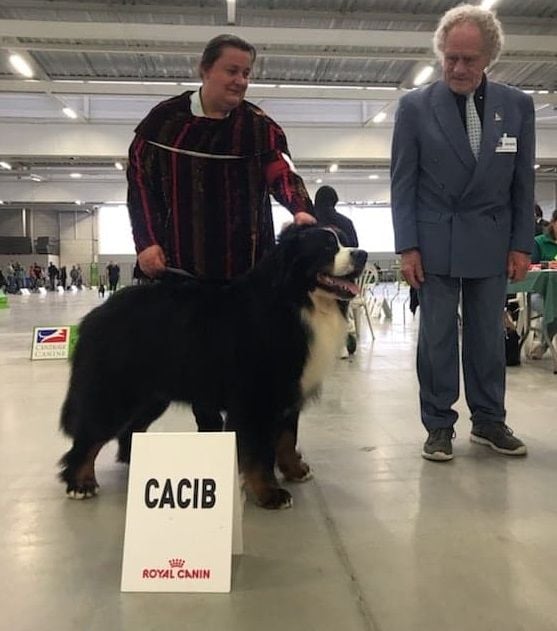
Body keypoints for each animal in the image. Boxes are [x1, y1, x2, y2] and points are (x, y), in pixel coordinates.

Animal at [58, 225, 368, 512]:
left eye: (345, 241)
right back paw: (80, 483)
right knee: (89, 436)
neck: (295, 300)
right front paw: (270, 493)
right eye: (327, 246)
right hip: (116, 391)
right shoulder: (257, 398)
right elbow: (259, 453)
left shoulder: (290, 391)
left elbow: (287, 437)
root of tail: (96, 314)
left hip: (153, 395)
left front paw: (295, 470)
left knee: (130, 429)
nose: (362, 254)